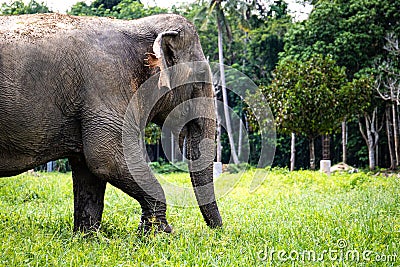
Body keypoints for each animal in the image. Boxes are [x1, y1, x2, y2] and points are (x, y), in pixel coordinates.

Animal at [0, 13, 223, 233]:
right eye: (200, 77)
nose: (217, 230)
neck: (138, 25)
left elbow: (88, 169)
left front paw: (89, 236)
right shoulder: (107, 86)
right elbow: (106, 159)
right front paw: (161, 233)